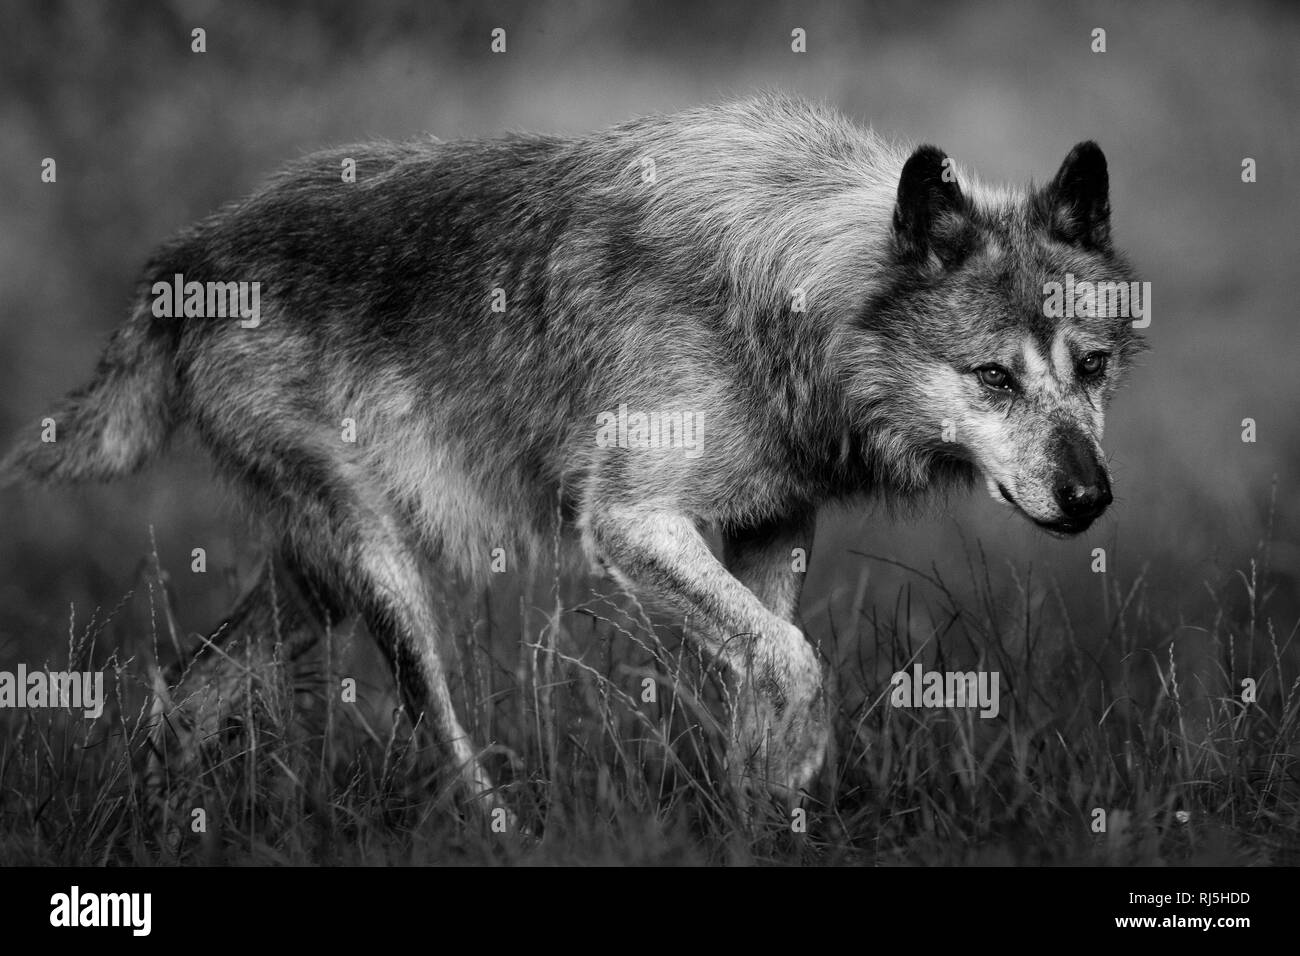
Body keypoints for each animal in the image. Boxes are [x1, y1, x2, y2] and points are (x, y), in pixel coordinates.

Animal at [1, 94, 1143, 811]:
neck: (778, 298)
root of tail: (181, 259)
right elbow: (794, 661)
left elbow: (771, 666)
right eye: (993, 378)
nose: (1091, 498)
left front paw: (762, 810)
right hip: (386, 574)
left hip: (316, 584)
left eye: (1090, 367)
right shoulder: (627, 525)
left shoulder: (772, 533)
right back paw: (494, 827)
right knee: (432, 732)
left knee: (181, 691)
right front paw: (785, 778)